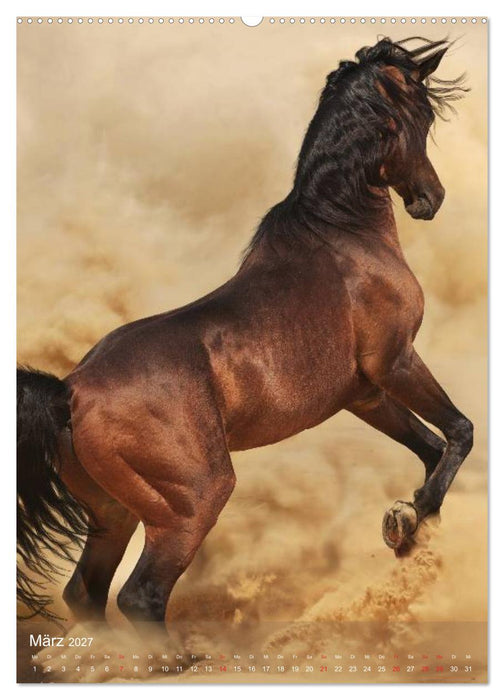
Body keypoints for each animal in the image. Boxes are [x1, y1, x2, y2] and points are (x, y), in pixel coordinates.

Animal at [17, 37, 472, 628]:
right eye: (424, 113)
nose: (429, 199)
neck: (342, 233)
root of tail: (70, 391)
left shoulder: (364, 395)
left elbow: (430, 447)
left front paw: (408, 524)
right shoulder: (397, 362)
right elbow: (459, 433)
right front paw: (410, 519)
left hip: (113, 511)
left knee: (86, 593)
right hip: (193, 500)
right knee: (141, 595)